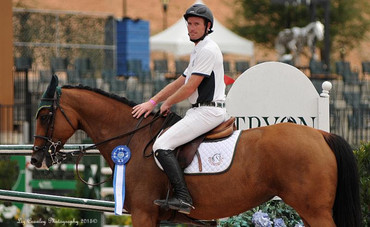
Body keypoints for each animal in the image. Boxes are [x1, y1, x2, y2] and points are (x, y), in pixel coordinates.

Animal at [31, 75, 362, 226]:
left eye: (45, 116)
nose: (36, 158)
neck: (133, 138)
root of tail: (321, 135)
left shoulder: (144, 214)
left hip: (315, 210)